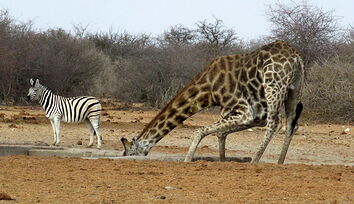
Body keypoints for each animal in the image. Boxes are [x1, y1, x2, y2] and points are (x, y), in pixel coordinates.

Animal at [120, 40, 302, 163]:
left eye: (129, 152)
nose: (123, 157)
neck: (207, 91)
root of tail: (295, 56)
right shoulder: (245, 114)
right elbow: (220, 133)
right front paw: (222, 161)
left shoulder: (245, 111)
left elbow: (200, 131)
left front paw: (187, 160)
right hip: (293, 90)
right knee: (291, 124)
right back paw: (279, 163)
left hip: (273, 85)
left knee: (275, 123)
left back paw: (254, 161)